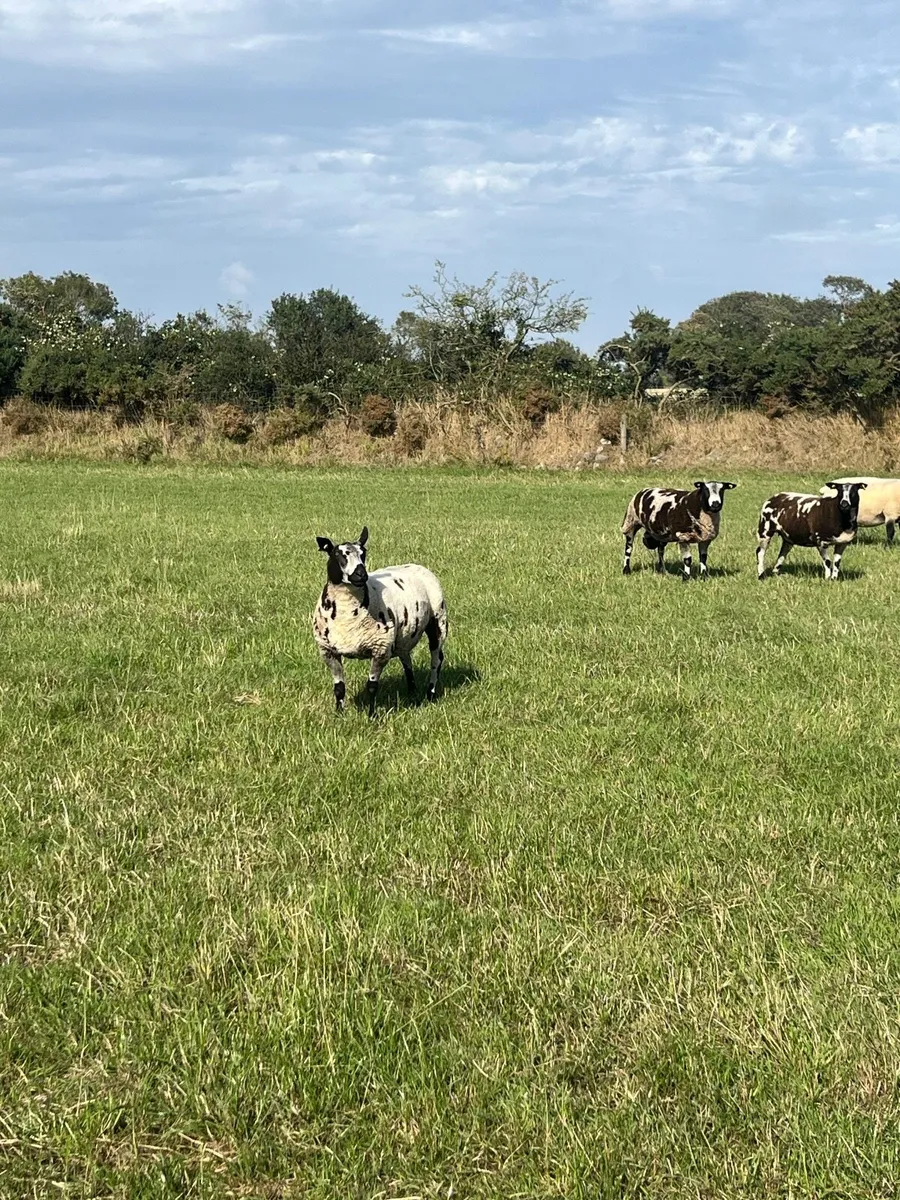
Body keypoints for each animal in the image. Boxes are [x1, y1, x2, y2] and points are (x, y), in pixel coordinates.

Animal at [312, 527, 448, 717]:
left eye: (364, 553)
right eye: (338, 555)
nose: (361, 574)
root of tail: (417, 566)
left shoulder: (380, 648)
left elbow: (372, 687)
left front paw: (371, 715)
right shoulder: (327, 650)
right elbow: (339, 687)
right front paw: (339, 714)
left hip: (439, 620)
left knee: (436, 659)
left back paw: (430, 693)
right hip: (402, 634)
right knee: (406, 657)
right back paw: (412, 691)